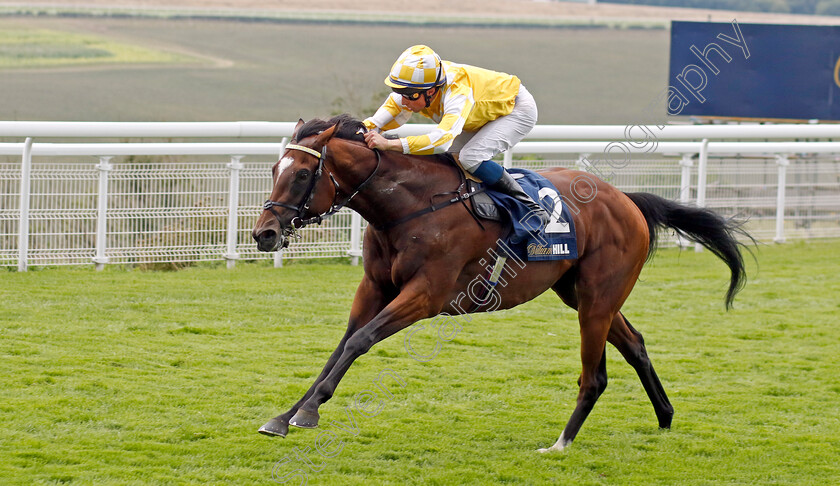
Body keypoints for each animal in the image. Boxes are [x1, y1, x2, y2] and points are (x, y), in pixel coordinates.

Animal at [251, 114, 748, 452]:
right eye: (274, 169)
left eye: (301, 173)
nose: (264, 234)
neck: (409, 207)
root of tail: (625, 199)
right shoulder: (374, 287)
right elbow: (341, 346)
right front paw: (285, 416)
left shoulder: (426, 295)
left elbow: (360, 342)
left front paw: (309, 411)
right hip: (580, 294)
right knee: (636, 343)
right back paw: (664, 416)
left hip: (596, 300)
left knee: (596, 374)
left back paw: (561, 442)